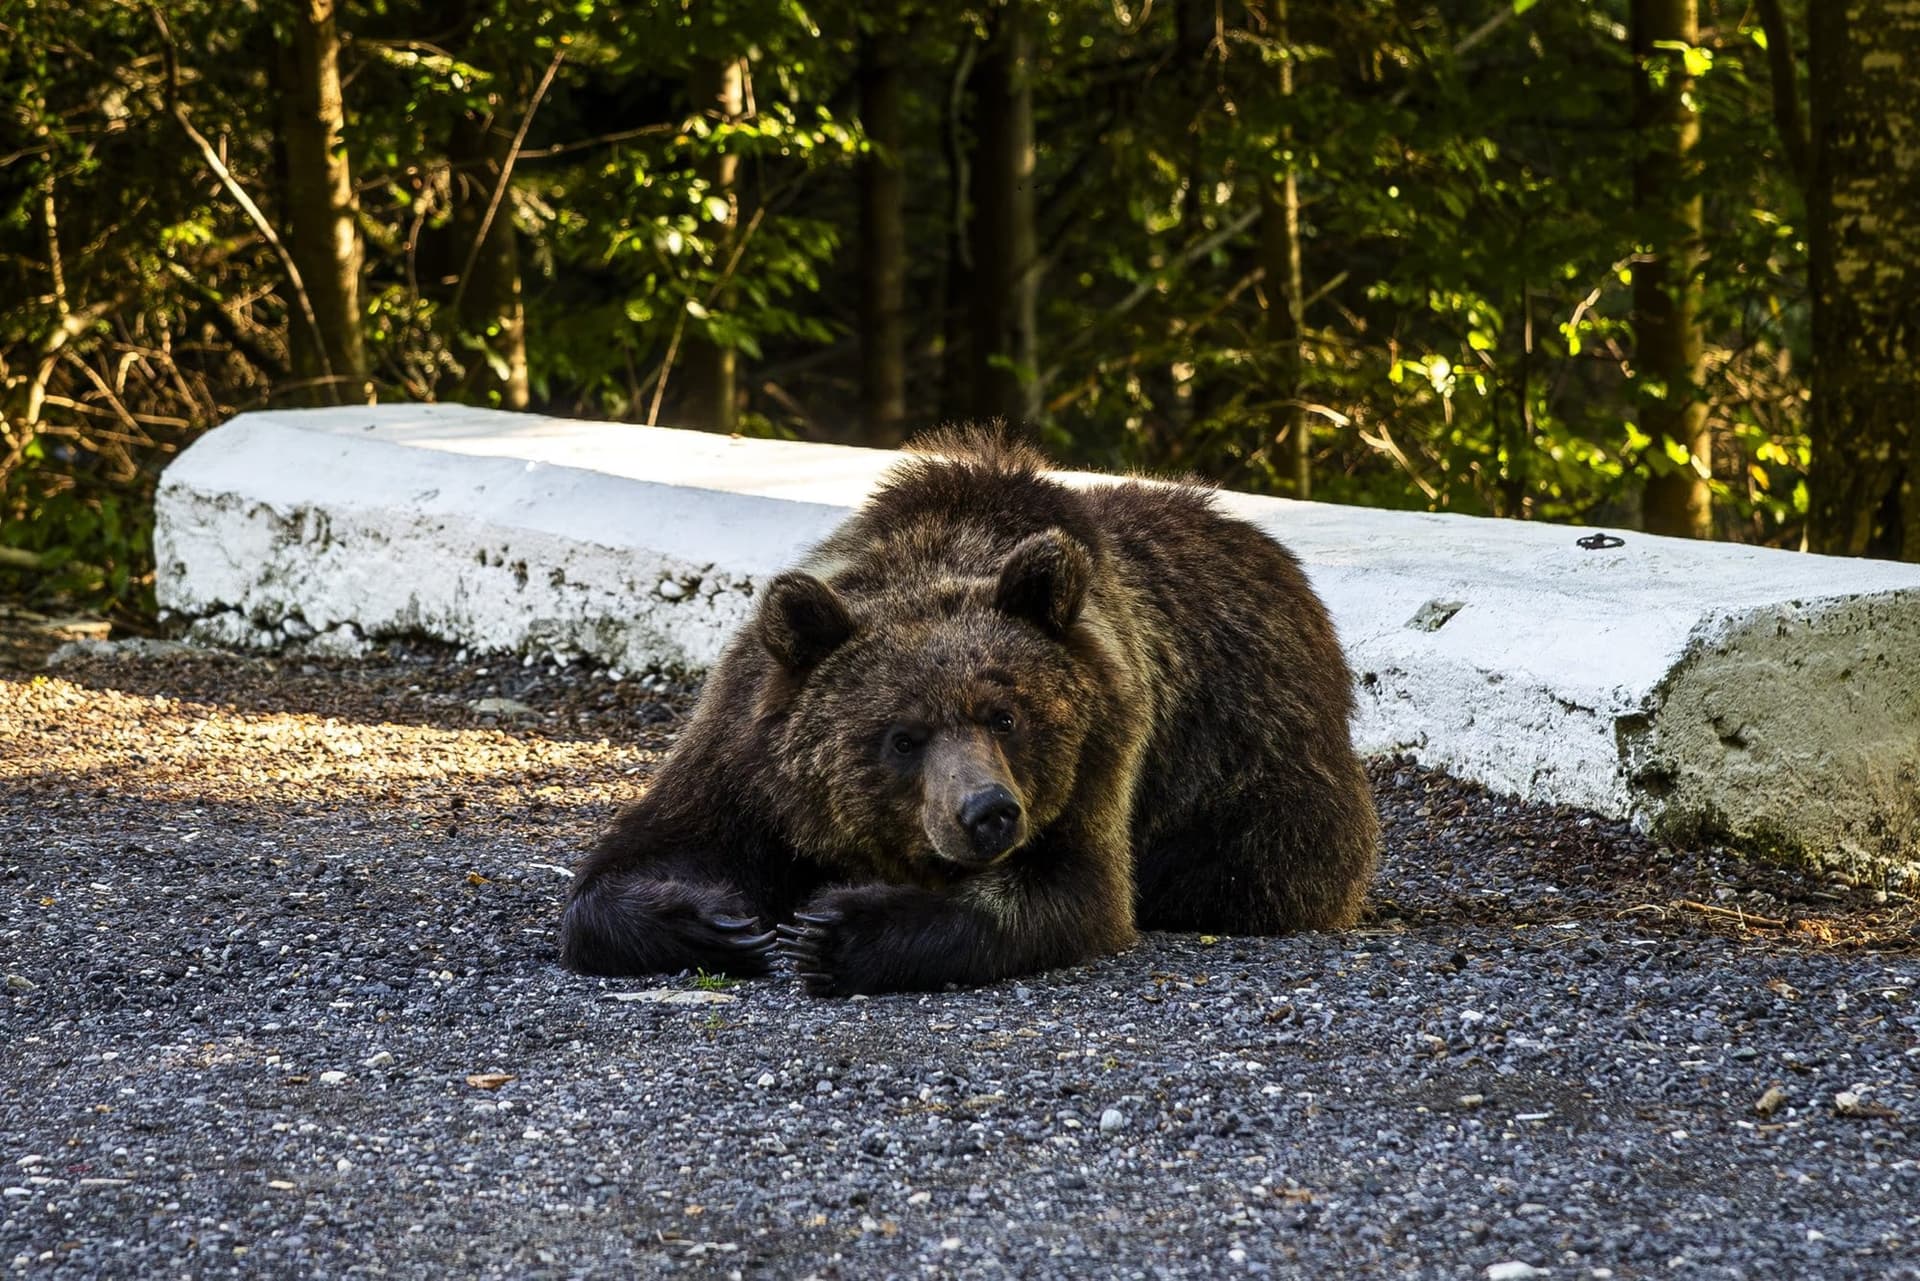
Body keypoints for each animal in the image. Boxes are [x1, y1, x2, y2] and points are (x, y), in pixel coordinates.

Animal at [560, 428, 1379, 995]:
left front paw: (834, 929)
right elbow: (639, 860)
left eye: (1005, 716)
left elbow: (1065, 893)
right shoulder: (743, 751)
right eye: (902, 737)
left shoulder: (1104, 750)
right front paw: (721, 921)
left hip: (1258, 767)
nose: (988, 811)